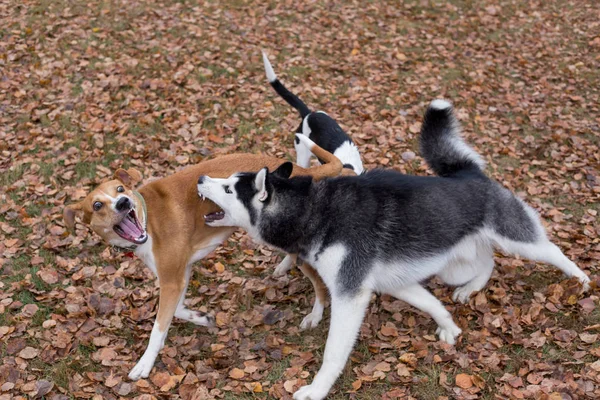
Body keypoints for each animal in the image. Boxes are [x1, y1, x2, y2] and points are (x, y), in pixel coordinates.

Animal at [65, 142, 340, 380]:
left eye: (120, 190)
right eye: (97, 205)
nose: (123, 203)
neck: (147, 220)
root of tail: (307, 171)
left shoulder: (172, 281)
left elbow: (157, 328)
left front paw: (145, 363)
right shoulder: (180, 274)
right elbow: (176, 310)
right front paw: (200, 318)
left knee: (320, 285)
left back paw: (315, 315)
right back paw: (284, 266)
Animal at [196, 100, 584, 400]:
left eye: (229, 188)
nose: (200, 178)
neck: (313, 210)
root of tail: (468, 174)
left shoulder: (350, 295)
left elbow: (333, 353)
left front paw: (317, 389)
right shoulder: (392, 282)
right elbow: (432, 303)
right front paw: (449, 326)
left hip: (519, 240)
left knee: (552, 252)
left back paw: (581, 281)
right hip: (452, 263)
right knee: (487, 262)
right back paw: (470, 289)